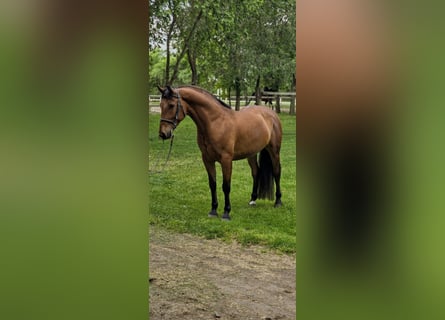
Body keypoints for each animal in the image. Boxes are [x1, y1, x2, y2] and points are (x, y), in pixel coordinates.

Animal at [157, 85, 280, 220]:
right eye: (160, 105)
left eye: (171, 105)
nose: (163, 133)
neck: (215, 122)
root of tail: (271, 113)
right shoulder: (207, 159)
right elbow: (213, 184)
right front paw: (213, 210)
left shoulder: (226, 160)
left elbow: (226, 186)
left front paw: (226, 212)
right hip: (251, 154)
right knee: (255, 172)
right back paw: (252, 200)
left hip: (274, 151)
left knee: (276, 172)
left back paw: (278, 202)